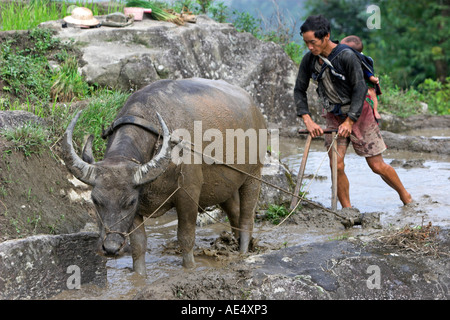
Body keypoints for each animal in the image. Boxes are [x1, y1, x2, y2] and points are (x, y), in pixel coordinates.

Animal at [62, 78, 268, 276]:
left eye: (129, 202)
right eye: (96, 200)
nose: (111, 248)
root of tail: (256, 110)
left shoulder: (187, 194)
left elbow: (185, 237)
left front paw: (189, 267)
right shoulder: (137, 208)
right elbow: (139, 244)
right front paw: (140, 275)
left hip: (254, 173)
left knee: (247, 216)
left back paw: (243, 251)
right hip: (225, 186)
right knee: (234, 212)